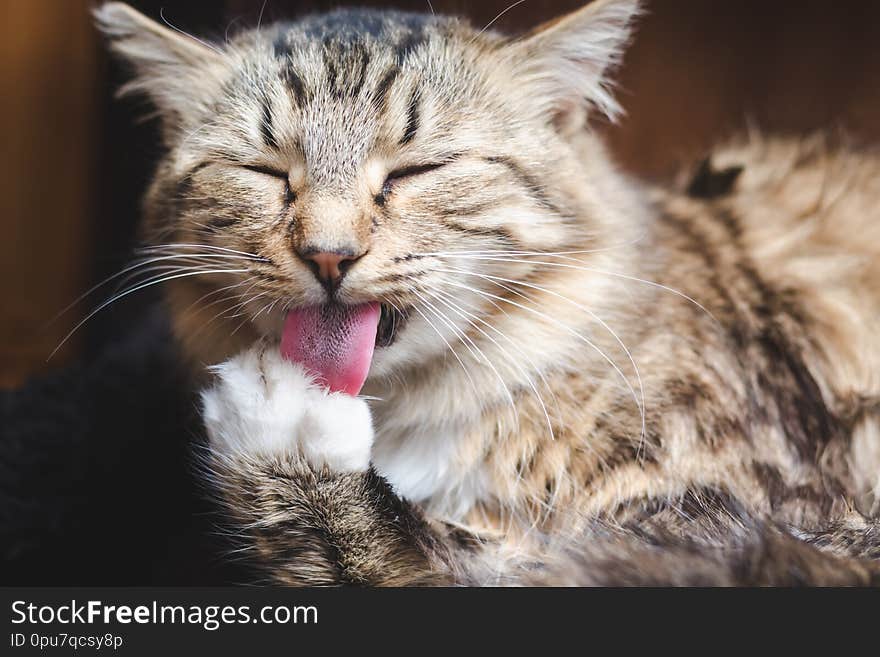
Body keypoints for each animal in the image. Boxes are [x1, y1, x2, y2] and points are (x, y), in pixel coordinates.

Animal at [94, 0, 880, 584]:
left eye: (415, 170)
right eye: (264, 172)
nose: (328, 254)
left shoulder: (758, 530)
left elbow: (467, 557)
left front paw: (287, 425)